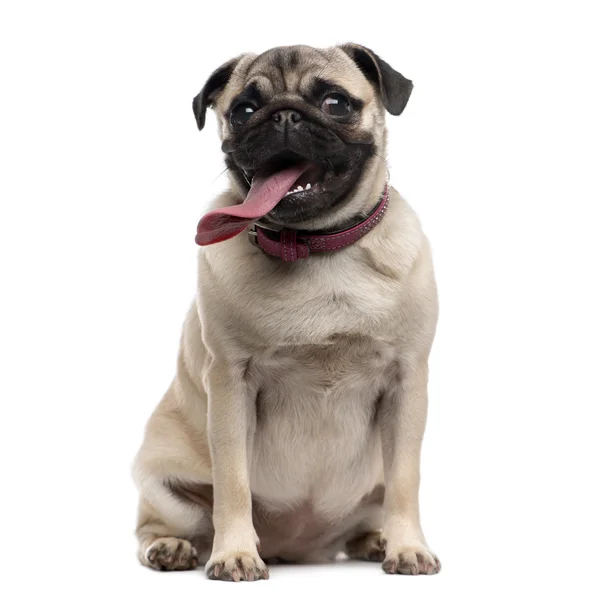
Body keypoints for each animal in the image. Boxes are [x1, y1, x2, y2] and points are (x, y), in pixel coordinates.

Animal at [133, 43, 440, 580]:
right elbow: (232, 482)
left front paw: (407, 547)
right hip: (160, 479)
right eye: (243, 110)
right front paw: (234, 553)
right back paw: (171, 547)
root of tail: (296, 548)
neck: (317, 249)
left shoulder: (407, 383)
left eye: (336, 103)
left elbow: (406, 480)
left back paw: (376, 540)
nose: (284, 115)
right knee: (154, 526)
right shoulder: (230, 384)